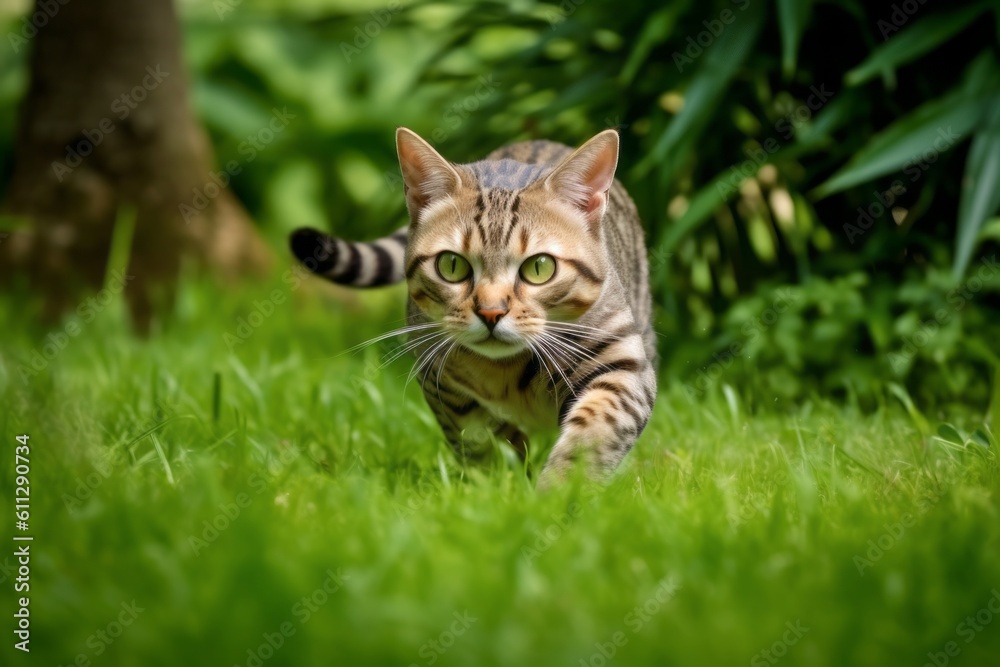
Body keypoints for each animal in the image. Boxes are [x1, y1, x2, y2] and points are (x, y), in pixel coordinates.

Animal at [292, 129, 656, 486]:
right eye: (452, 265)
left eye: (540, 267)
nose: (491, 312)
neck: (508, 369)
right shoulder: (438, 380)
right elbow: (482, 438)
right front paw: (501, 485)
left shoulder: (624, 364)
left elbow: (593, 432)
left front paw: (560, 491)